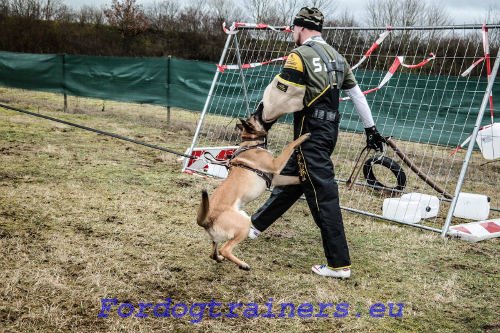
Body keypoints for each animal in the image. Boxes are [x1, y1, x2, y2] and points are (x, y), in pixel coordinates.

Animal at [196, 114, 308, 270]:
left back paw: (220, 259)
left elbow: (295, 179)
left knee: (213, 253)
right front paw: (303, 136)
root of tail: (207, 219)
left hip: (226, 231)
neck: (251, 143)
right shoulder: (276, 165)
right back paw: (243, 265)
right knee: (225, 249)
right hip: (244, 223)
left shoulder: (277, 178)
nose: (262, 110)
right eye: (256, 116)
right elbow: (290, 145)